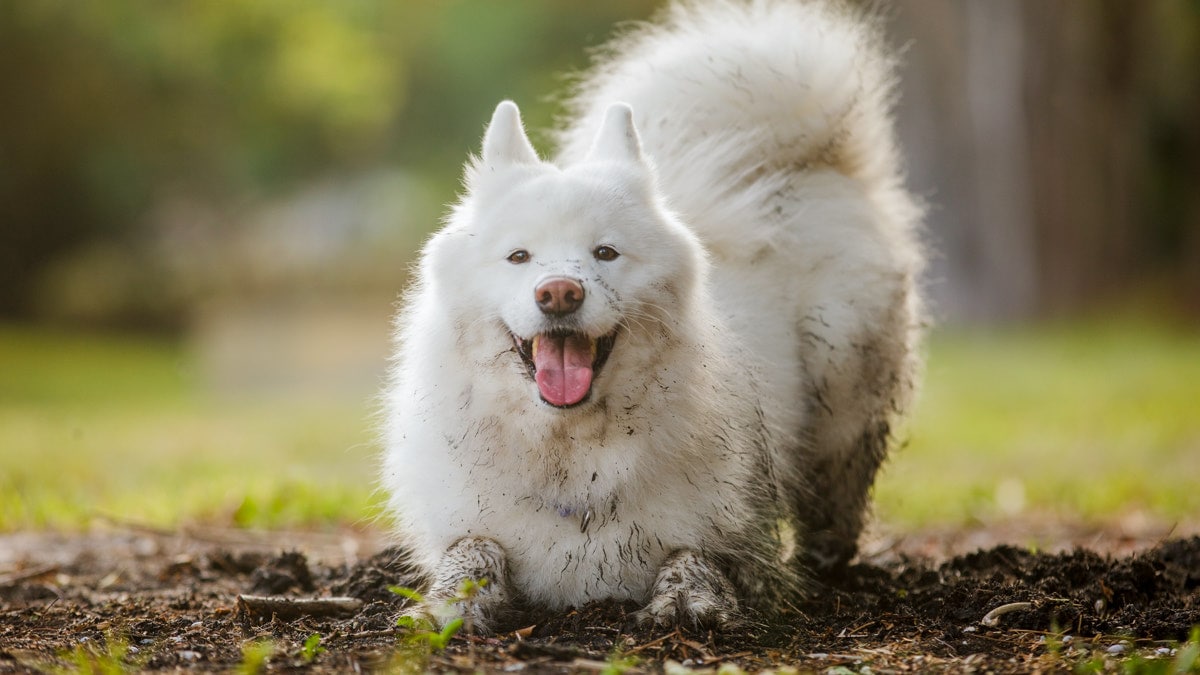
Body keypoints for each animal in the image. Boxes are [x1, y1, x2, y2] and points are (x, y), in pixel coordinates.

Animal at [379, 0, 921, 629]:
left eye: (605, 253)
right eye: (519, 256)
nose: (558, 293)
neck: (572, 458)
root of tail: (798, 164)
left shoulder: (739, 538)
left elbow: (695, 555)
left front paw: (687, 600)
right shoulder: (470, 525)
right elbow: (473, 551)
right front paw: (446, 605)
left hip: (842, 387)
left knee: (838, 502)